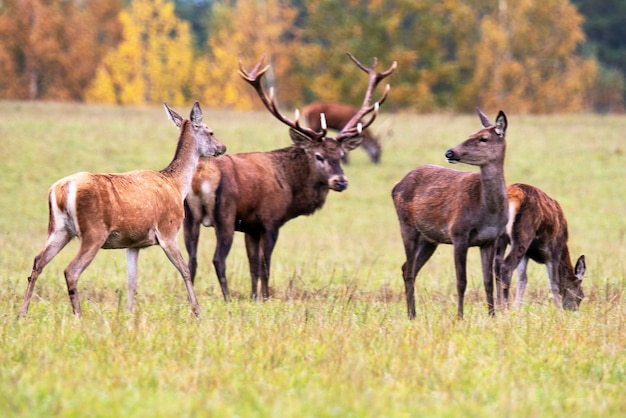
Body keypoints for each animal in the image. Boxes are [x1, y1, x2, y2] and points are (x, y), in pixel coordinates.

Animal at [17, 102, 227, 316]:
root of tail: (61, 189)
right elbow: (185, 270)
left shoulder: (133, 243)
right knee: (71, 270)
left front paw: (128, 313)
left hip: (58, 229)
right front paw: (197, 311)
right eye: (210, 132)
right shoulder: (167, 231)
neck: (176, 185)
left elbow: (131, 281)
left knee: (38, 261)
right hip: (93, 231)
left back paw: (22, 312)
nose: (222, 147)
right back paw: (78, 315)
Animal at [182, 53, 394, 300]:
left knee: (191, 260)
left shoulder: (250, 227)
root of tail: (199, 179)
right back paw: (226, 299)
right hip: (224, 214)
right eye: (319, 156)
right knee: (218, 259)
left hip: (189, 218)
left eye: (341, 155)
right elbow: (265, 265)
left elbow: (253, 266)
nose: (340, 181)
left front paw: (254, 297)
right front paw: (266, 298)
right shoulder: (270, 220)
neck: (292, 191)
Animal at [392, 108, 510, 320]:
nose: (450, 152)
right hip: (406, 225)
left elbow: (488, 281)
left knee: (407, 267)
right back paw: (411, 315)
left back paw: (413, 313)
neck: (487, 211)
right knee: (409, 270)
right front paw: (460, 317)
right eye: (470, 134)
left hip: (429, 239)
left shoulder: (490, 240)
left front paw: (492, 315)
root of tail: (395, 186)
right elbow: (461, 281)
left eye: (483, 138)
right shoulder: (458, 233)